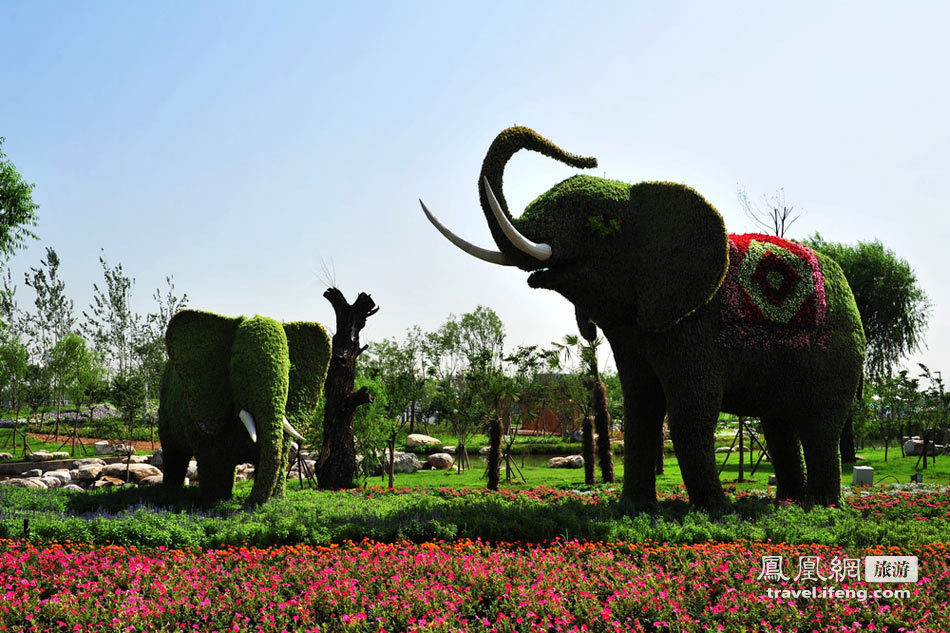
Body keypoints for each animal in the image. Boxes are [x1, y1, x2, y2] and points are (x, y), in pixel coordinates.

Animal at [157, 308, 330, 506]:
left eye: (288, 367)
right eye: (240, 365)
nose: (247, 502)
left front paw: (276, 500)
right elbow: (214, 459)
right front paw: (215, 501)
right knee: (174, 453)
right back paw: (171, 490)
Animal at [420, 126, 868, 512]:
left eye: (601, 224)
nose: (588, 157)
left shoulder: (692, 329)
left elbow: (690, 413)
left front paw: (715, 511)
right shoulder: (634, 333)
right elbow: (640, 408)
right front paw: (635, 508)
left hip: (839, 352)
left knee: (820, 423)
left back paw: (819, 507)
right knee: (779, 424)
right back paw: (787, 503)